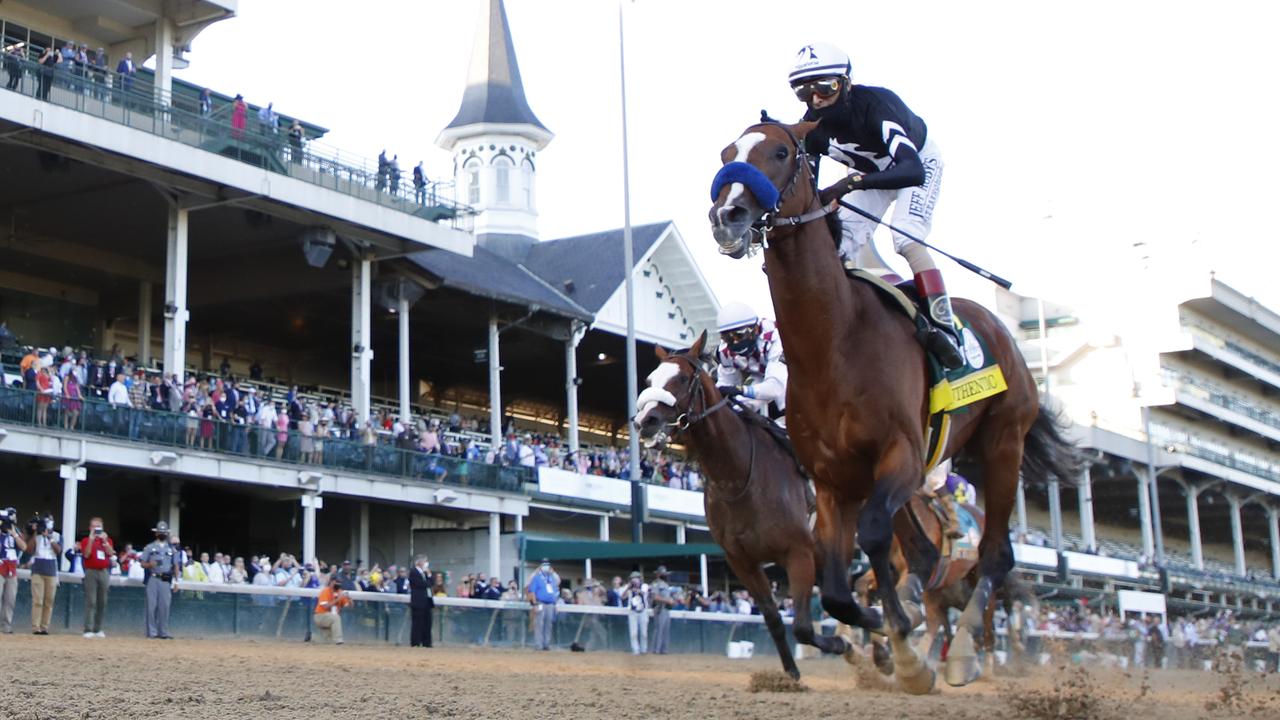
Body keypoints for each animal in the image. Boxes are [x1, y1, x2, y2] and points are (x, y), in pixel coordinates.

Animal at [629, 333, 849, 676]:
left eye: (681, 378)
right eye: (650, 380)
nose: (644, 421)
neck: (739, 476)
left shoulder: (798, 552)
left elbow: (802, 626)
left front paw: (840, 645)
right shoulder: (741, 560)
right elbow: (773, 618)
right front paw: (791, 674)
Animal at [706, 119, 1075, 691]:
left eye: (782, 151)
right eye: (727, 153)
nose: (728, 216)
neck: (835, 342)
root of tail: (997, 327)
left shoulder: (902, 456)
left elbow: (878, 539)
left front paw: (904, 651)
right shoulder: (833, 483)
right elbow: (839, 589)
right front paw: (882, 637)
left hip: (1003, 443)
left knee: (995, 554)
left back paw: (963, 652)